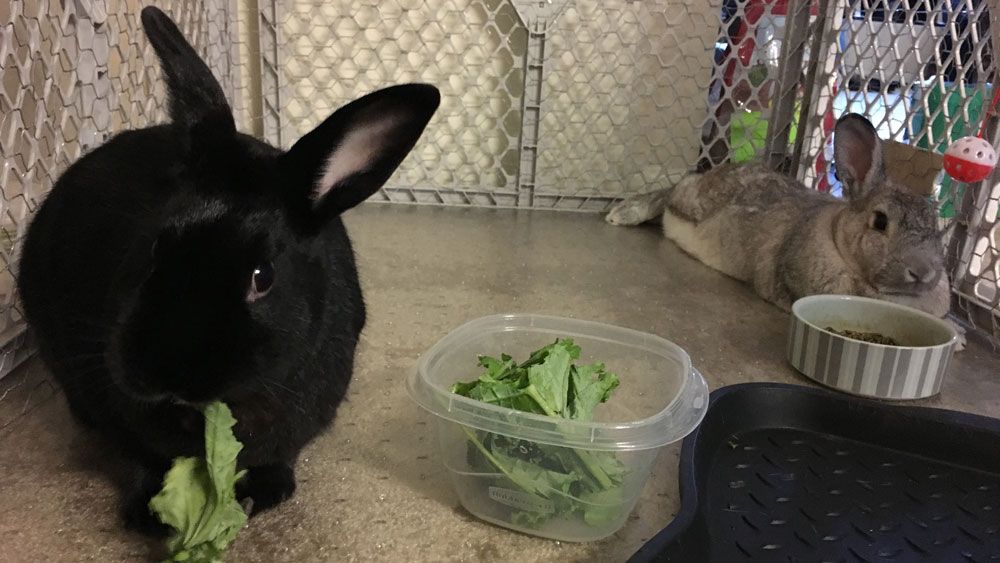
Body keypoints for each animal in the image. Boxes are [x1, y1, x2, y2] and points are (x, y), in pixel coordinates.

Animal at [16, 6, 439, 535]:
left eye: (263, 277)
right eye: (154, 249)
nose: (163, 372)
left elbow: (279, 456)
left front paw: (263, 494)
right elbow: (140, 456)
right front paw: (149, 512)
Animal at [606, 113, 965, 347]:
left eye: (935, 227)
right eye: (879, 221)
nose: (923, 272)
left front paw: (957, 336)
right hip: (689, 202)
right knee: (671, 192)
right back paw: (622, 213)